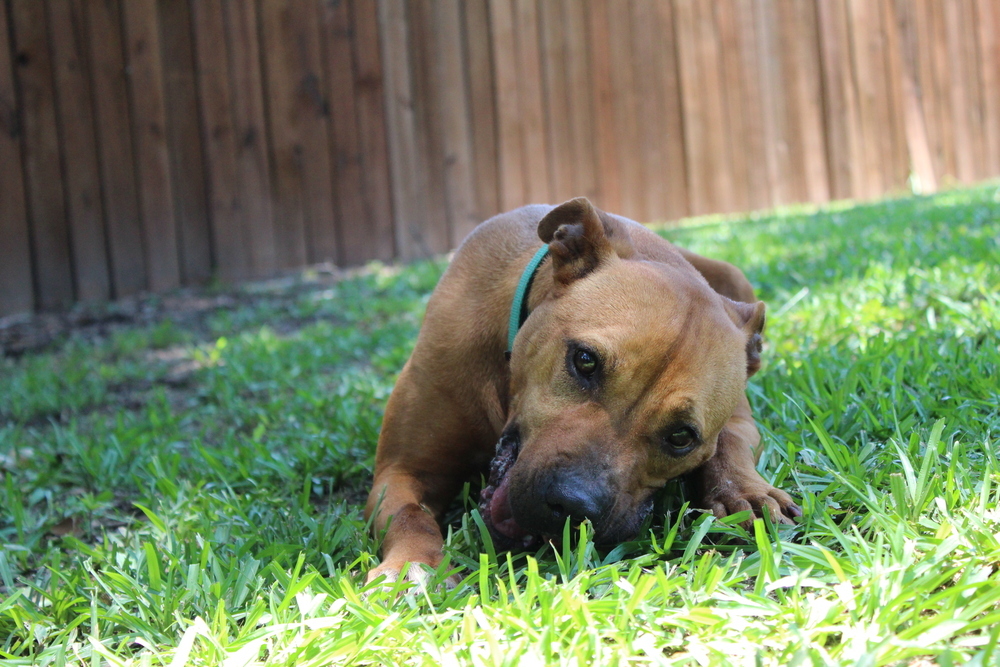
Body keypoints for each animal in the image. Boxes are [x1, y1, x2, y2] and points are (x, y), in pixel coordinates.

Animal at [364, 198, 800, 584]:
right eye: (585, 360)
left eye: (681, 436)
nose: (570, 506)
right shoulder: (402, 468)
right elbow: (409, 514)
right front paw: (413, 567)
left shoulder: (738, 418)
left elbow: (729, 443)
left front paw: (746, 491)